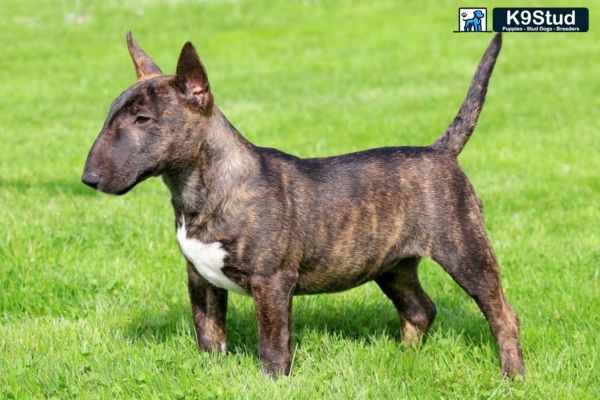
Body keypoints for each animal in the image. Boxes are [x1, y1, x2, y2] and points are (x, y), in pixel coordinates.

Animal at [82, 32, 524, 378]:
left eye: (143, 119)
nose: (89, 178)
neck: (205, 188)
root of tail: (440, 152)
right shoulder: (200, 279)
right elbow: (209, 334)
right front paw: (211, 373)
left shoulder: (272, 283)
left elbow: (273, 345)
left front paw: (272, 382)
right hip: (391, 264)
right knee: (420, 308)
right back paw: (404, 358)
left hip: (465, 251)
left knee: (503, 314)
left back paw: (512, 375)